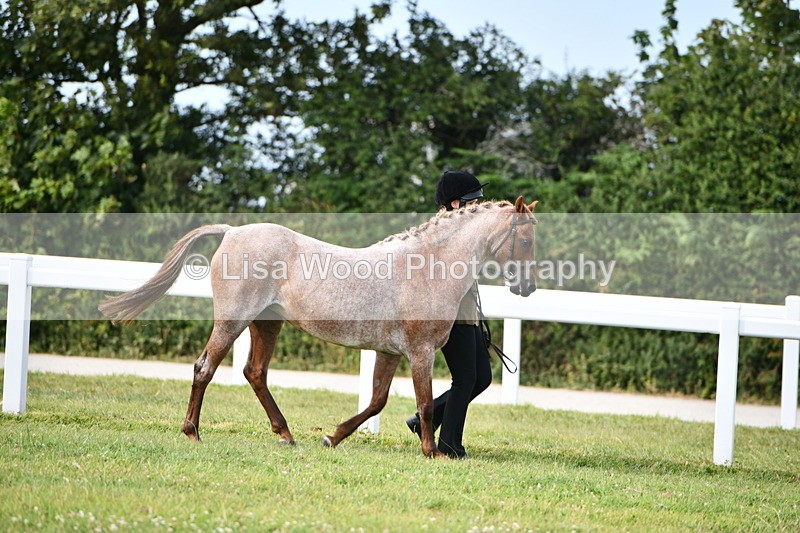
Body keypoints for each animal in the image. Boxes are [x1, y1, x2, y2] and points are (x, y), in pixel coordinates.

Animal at [99, 196, 538, 458]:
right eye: (526, 239)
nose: (528, 287)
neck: (429, 266)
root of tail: (233, 232)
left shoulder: (389, 353)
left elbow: (376, 402)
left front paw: (333, 436)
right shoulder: (420, 353)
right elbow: (426, 404)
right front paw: (431, 451)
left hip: (266, 324)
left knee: (255, 373)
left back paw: (285, 434)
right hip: (233, 320)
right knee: (205, 367)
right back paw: (192, 432)